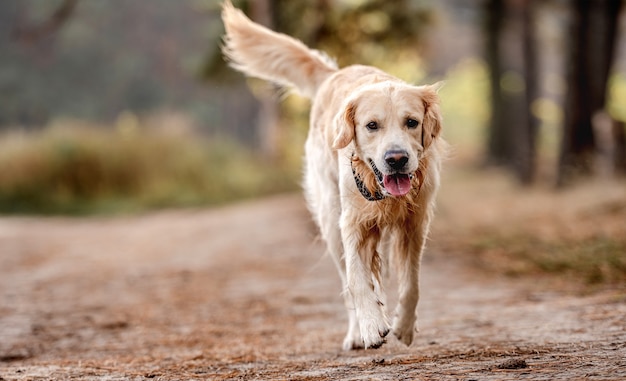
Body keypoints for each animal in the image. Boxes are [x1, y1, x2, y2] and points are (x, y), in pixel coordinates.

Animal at [222, 0, 442, 350]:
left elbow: (411, 283)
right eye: (371, 125)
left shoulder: (415, 222)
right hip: (328, 216)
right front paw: (370, 326)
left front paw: (404, 326)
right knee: (350, 278)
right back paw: (356, 333)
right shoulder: (351, 222)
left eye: (411, 122)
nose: (396, 159)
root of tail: (334, 74)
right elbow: (357, 279)